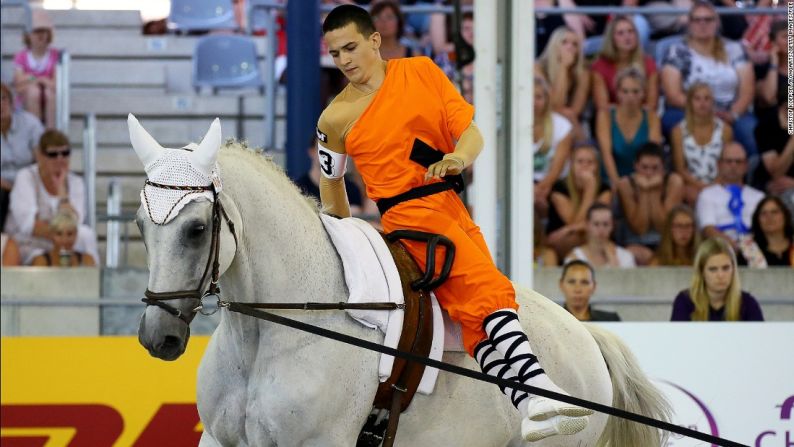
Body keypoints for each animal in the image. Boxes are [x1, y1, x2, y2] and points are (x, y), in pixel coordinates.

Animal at [135, 119, 668, 447]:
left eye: (196, 229)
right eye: (141, 226)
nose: (157, 337)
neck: (268, 332)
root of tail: (586, 337)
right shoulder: (220, 439)